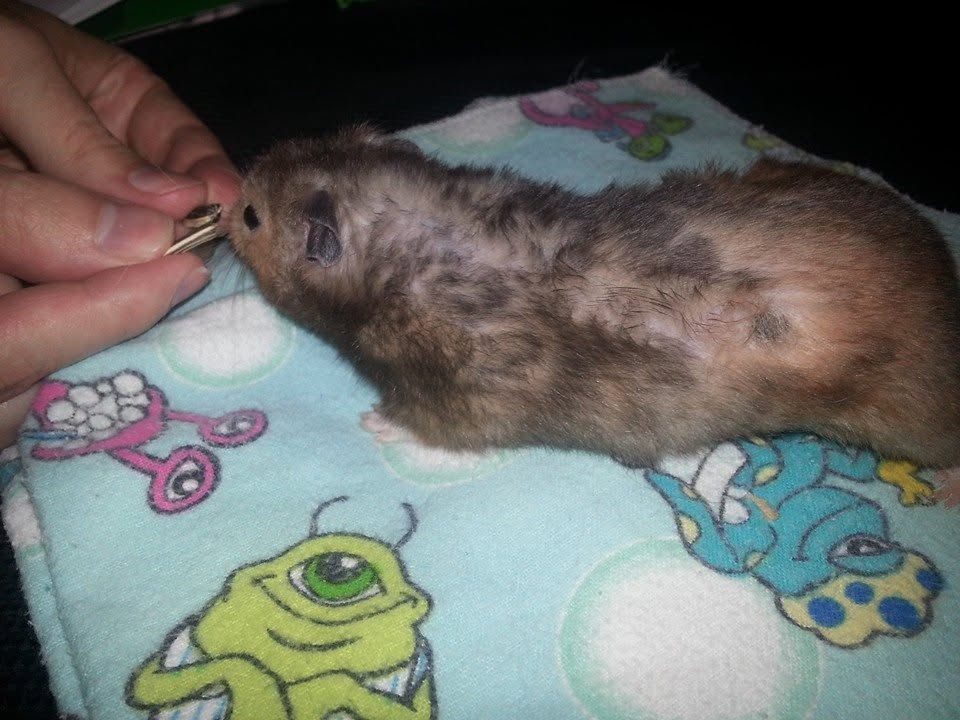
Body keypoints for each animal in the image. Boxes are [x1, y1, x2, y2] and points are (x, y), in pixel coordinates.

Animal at [229, 125, 960, 468]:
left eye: (251, 216)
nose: (228, 195)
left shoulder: (463, 390)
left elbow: (430, 423)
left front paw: (376, 423)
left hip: (907, 411)